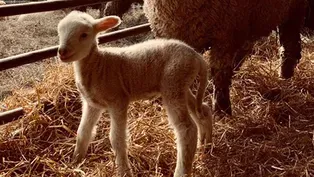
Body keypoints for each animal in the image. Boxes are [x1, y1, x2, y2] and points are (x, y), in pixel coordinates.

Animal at [57, 11, 212, 177]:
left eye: (84, 35)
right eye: (59, 33)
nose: (62, 51)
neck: (99, 65)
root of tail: (196, 56)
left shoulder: (118, 100)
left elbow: (117, 139)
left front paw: (124, 171)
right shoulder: (92, 104)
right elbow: (83, 132)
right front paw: (76, 162)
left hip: (174, 81)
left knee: (187, 129)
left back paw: (182, 170)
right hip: (179, 85)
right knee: (202, 109)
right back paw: (207, 145)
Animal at [144, 0, 312, 116]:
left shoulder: (224, 36)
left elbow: (220, 73)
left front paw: (221, 109)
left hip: (292, 8)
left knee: (289, 38)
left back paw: (286, 72)